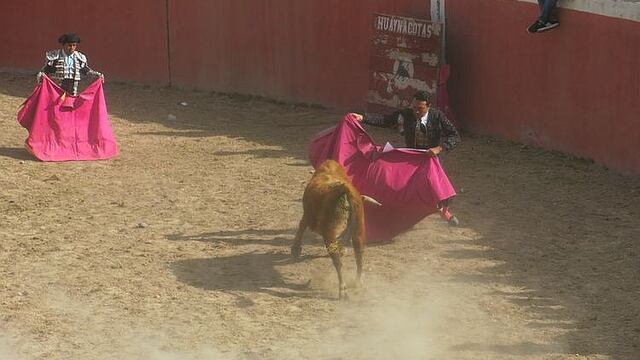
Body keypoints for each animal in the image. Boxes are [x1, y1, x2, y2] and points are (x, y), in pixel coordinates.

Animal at [294, 160, 380, 298]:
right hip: (359, 231)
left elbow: (301, 226)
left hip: (329, 233)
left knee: (338, 261)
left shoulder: (307, 215)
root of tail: (344, 190)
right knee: (359, 255)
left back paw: (342, 289)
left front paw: (295, 249)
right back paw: (357, 282)